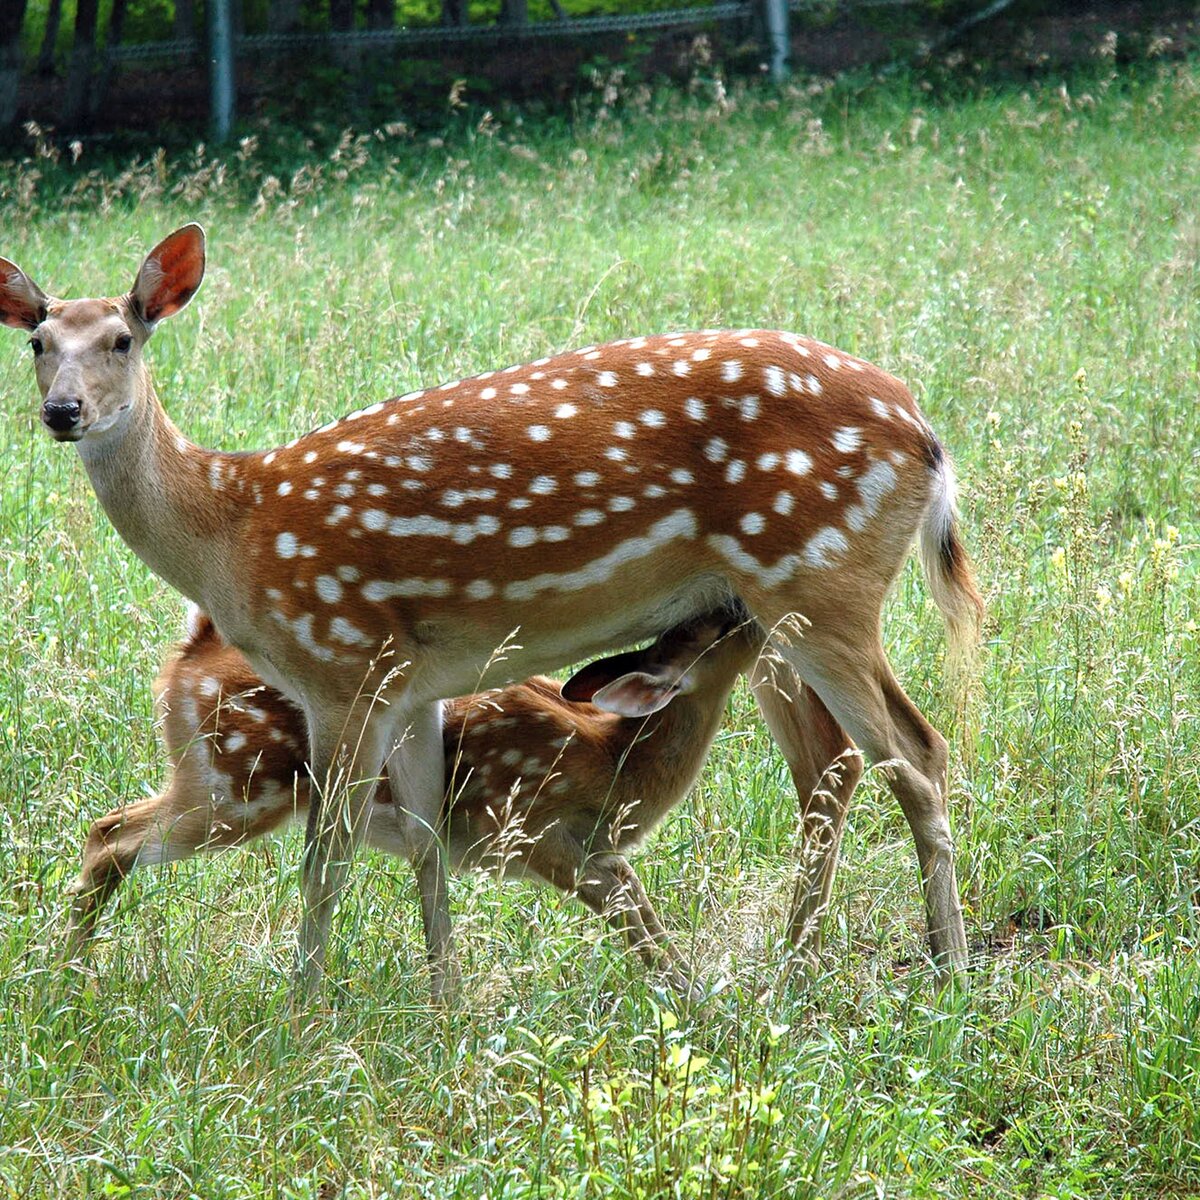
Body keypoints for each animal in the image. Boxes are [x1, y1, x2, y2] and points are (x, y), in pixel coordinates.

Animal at [63, 609, 758, 993]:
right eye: (716, 627)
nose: (748, 608)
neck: (615, 762)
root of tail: (195, 648)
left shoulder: (590, 847)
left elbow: (644, 914)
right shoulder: (538, 832)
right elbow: (637, 922)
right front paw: (710, 1012)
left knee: (109, 832)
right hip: (236, 787)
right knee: (110, 835)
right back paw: (67, 978)